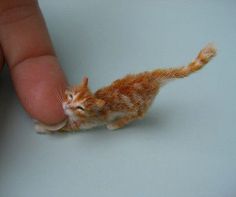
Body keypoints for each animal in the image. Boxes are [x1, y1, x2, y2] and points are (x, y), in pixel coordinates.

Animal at [34, 43, 216, 133]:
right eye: (71, 96)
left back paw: (115, 125)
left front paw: (41, 127)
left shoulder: (81, 125)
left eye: (80, 108)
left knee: (134, 117)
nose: (66, 105)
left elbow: (59, 128)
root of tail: (151, 77)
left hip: (138, 109)